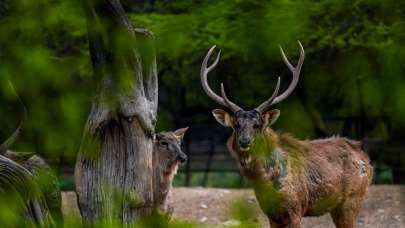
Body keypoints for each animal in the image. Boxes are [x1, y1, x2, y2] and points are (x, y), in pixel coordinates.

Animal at [201, 41, 372, 227]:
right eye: (236, 125)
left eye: (257, 125)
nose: (244, 141)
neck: (266, 182)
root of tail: (365, 157)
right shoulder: (271, 214)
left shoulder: (296, 209)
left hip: (352, 200)